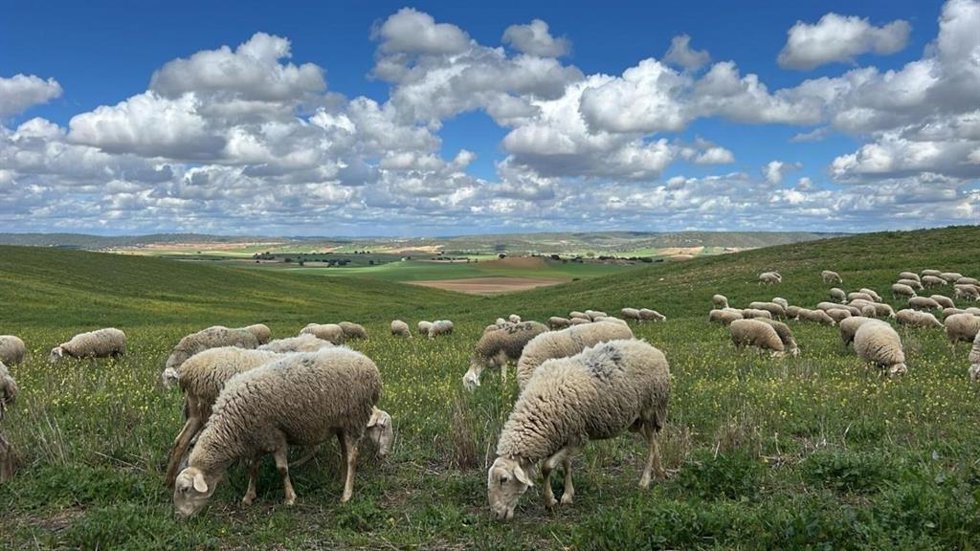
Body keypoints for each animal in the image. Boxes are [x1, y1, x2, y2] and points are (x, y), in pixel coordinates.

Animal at [173, 347, 383, 517]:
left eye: (185, 489)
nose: (180, 516)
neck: (231, 424)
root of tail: (370, 365)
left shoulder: (276, 436)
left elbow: (282, 469)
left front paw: (290, 498)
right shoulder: (256, 438)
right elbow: (253, 468)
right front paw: (249, 496)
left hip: (354, 420)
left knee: (352, 457)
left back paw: (346, 494)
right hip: (341, 425)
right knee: (345, 453)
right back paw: (340, 480)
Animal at [488, 339, 669, 520]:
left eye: (504, 479)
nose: (496, 514)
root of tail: (649, 347)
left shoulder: (578, 438)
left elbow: (547, 466)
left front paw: (550, 501)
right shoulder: (565, 433)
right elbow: (566, 465)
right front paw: (568, 494)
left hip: (650, 408)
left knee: (652, 444)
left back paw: (645, 480)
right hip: (634, 420)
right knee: (653, 440)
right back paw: (660, 471)